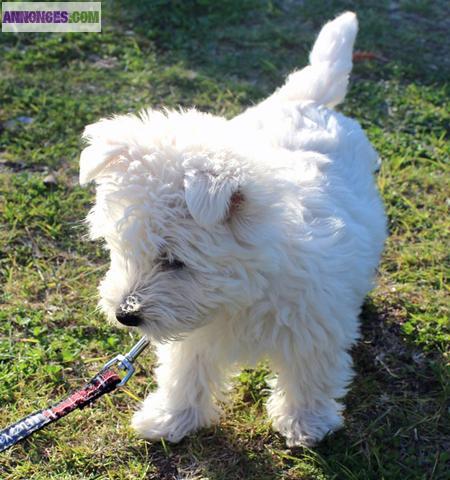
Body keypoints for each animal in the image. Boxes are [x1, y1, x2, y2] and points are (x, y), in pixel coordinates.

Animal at [78, 11, 386, 446]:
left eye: (174, 261)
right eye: (119, 250)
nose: (125, 315)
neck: (244, 291)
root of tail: (306, 100)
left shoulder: (314, 330)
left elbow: (308, 377)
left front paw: (305, 423)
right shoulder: (193, 335)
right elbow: (184, 373)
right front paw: (170, 418)